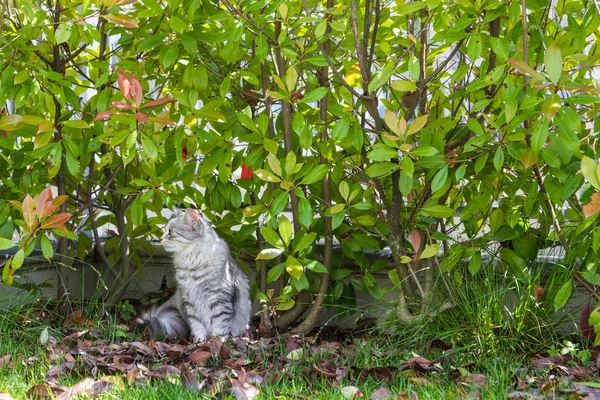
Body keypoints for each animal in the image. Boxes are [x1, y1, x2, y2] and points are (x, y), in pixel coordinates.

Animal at [138, 208, 251, 342]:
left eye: (170, 232)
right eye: (164, 231)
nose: (160, 239)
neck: (192, 264)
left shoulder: (218, 300)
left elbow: (220, 326)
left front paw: (217, 342)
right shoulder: (190, 301)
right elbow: (197, 325)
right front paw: (200, 341)